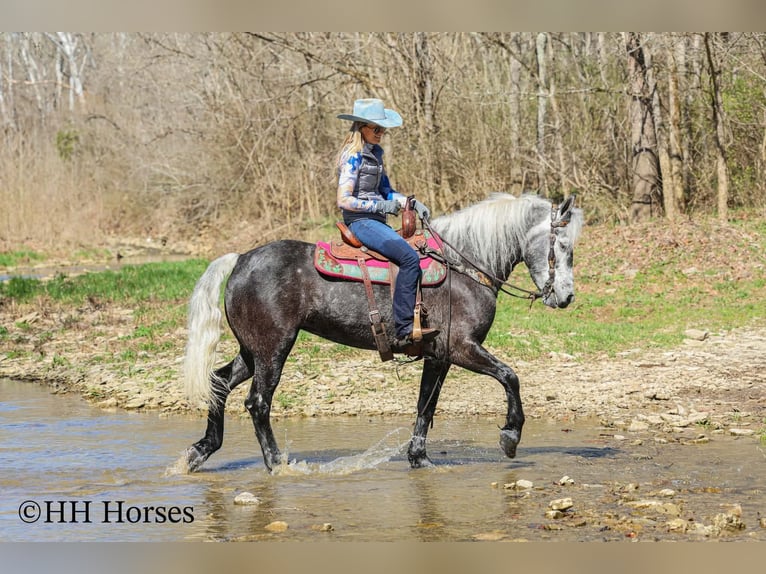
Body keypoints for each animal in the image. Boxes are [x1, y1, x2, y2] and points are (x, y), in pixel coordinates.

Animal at [181, 193, 582, 472]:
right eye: (563, 246)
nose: (565, 297)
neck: (463, 265)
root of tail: (241, 259)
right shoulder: (461, 349)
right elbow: (510, 376)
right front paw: (510, 436)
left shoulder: (438, 357)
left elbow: (425, 406)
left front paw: (420, 459)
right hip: (273, 350)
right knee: (258, 403)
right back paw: (276, 463)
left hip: (252, 351)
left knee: (219, 383)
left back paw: (201, 451)